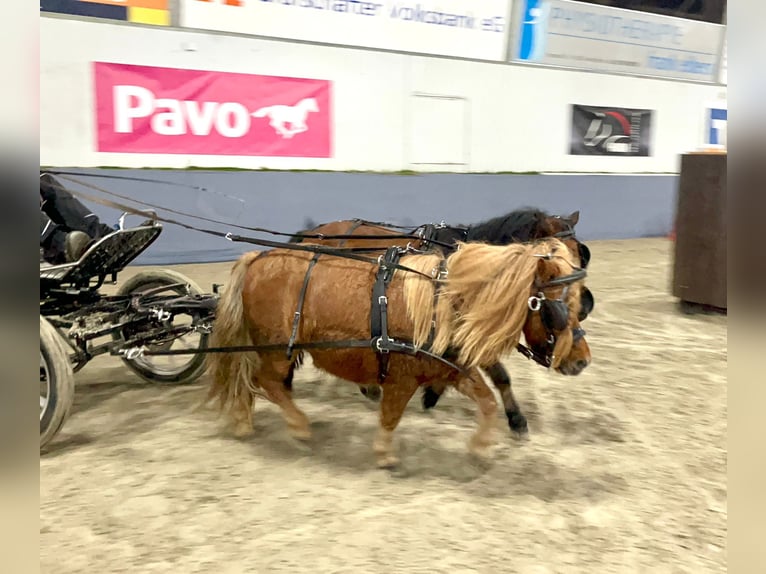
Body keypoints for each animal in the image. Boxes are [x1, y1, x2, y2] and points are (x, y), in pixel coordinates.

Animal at [206, 237, 592, 468]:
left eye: (579, 304)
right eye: (561, 309)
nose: (582, 360)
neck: (442, 304)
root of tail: (258, 256)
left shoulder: (449, 367)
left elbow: (487, 401)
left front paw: (481, 446)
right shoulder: (402, 376)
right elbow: (391, 415)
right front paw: (385, 453)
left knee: (253, 379)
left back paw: (245, 419)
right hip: (276, 350)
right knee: (264, 380)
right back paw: (297, 426)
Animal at [288, 207, 592, 436]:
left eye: (578, 255)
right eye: (554, 254)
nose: (583, 303)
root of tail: (314, 233)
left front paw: (432, 393)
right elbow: (500, 375)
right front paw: (516, 419)